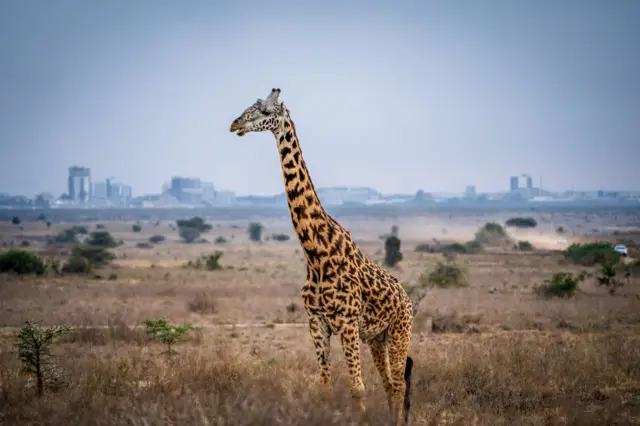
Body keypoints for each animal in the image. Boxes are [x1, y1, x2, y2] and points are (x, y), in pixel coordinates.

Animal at [230, 88, 416, 424]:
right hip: (377, 338)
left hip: (399, 331)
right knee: (388, 384)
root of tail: (407, 299)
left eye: (263, 110)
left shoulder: (347, 322)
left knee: (398, 384)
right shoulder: (316, 322)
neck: (316, 254)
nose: (234, 124)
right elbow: (326, 386)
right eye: (247, 107)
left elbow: (357, 388)